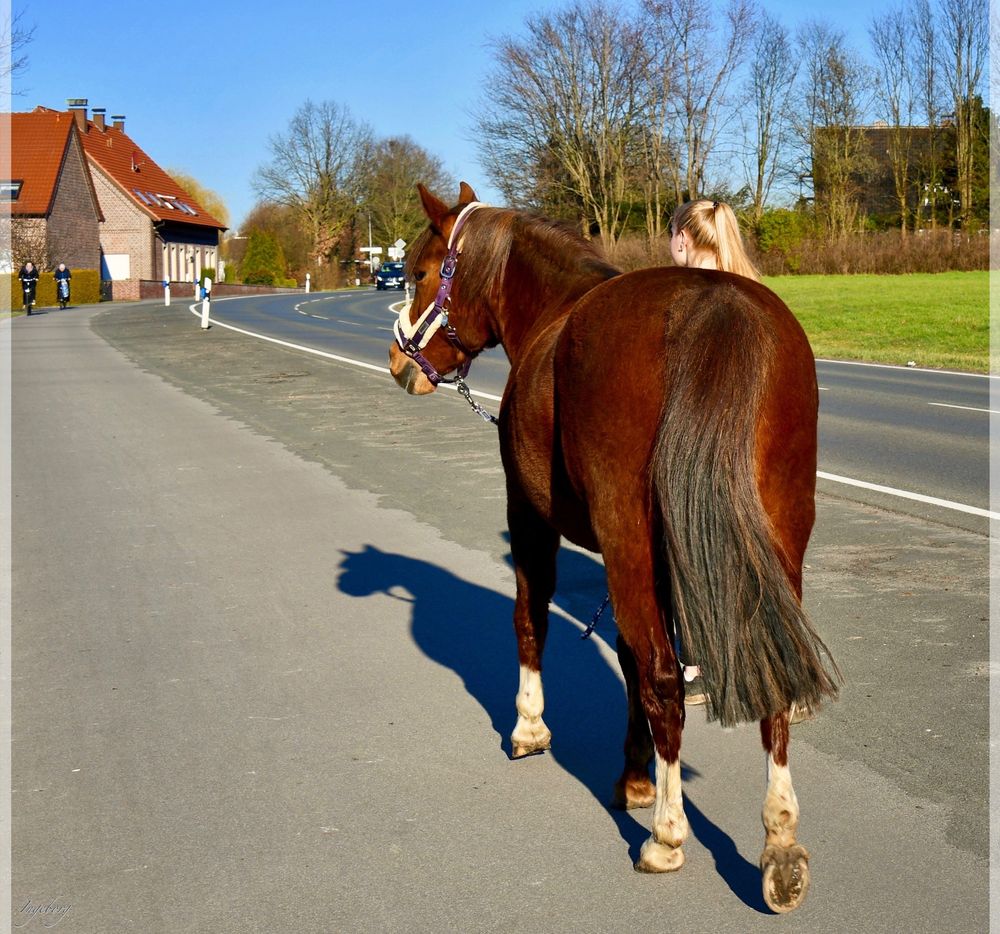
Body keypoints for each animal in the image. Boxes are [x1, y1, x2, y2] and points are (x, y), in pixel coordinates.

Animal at [386, 183, 840, 916]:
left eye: (421, 272)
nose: (399, 360)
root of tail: (715, 307)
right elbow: (629, 656)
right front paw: (635, 774)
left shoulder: (534, 517)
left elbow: (535, 620)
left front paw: (531, 727)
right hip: (777, 539)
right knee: (766, 672)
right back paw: (779, 845)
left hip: (629, 533)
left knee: (663, 676)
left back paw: (668, 836)